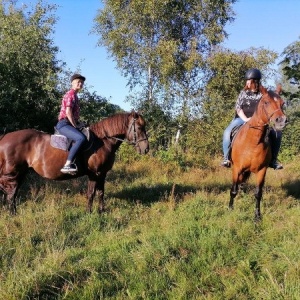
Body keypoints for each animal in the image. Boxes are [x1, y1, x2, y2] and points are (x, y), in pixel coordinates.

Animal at [0, 111, 149, 214]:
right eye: (139, 128)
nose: (146, 148)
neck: (102, 141)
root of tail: (4, 137)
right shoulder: (94, 174)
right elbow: (91, 193)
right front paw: (89, 213)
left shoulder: (102, 174)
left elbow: (101, 193)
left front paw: (101, 211)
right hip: (12, 174)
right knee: (11, 195)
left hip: (20, 173)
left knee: (12, 194)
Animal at [230, 85, 286, 220]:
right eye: (266, 102)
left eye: (282, 103)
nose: (281, 121)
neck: (253, 142)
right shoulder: (237, 168)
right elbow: (233, 190)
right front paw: (230, 209)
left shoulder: (262, 171)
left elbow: (258, 193)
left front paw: (257, 216)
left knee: (242, 184)